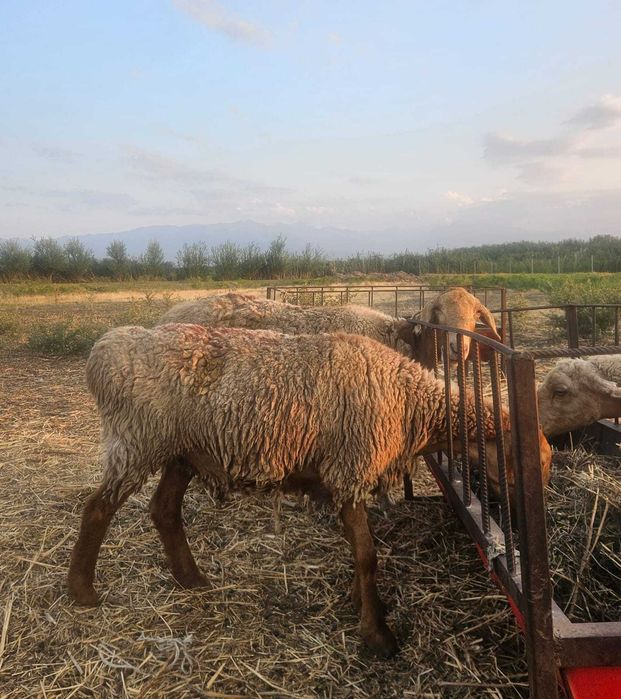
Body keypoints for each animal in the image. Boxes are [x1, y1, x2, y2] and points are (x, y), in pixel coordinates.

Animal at [67, 324, 552, 658]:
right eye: (534, 463)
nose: (519, 522)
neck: (409, 399)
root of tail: (103, 352)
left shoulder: (344, 475)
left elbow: (358, 548)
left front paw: (359, 600)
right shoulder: (350, 466)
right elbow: (368, 554)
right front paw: (377, 634)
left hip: (184, 450)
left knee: (163, 509)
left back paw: (192, 579)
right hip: (138, 439)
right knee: (97, 509)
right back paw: (82, 592)